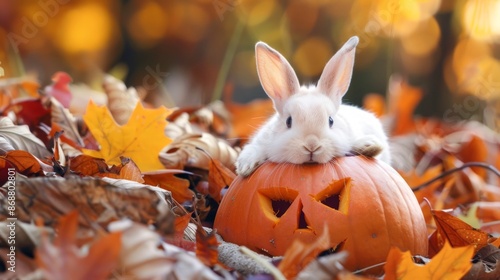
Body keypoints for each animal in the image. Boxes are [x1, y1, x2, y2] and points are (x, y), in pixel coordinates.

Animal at [236, 36, 392, 177]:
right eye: (288, 121)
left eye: (331, 121)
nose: (312, 145)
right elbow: (252, 150)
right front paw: (245, 167)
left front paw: (370, 145)